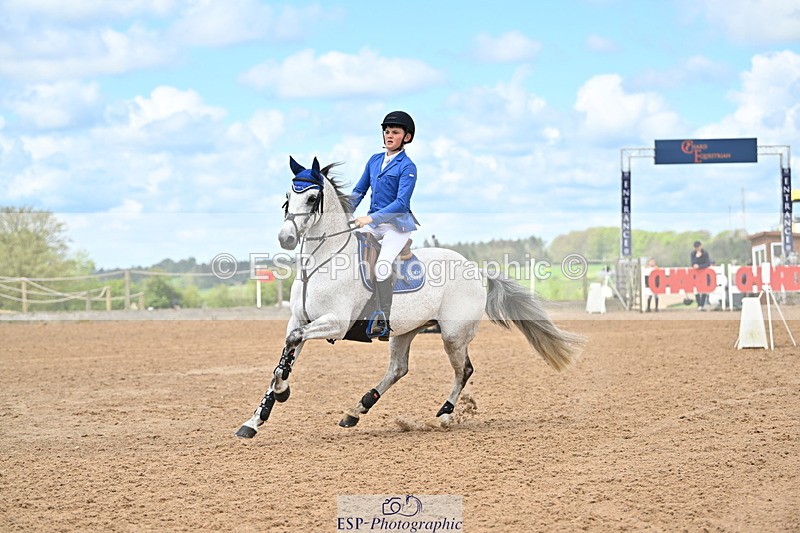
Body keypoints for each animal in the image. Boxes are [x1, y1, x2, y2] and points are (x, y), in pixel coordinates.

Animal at [235, 157, 584, 438]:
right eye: (287, 197)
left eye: (311, 197)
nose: (286, 238)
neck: (323, 261)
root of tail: (476, 269)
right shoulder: (301, 319)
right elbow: (285, 357)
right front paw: (256, 419)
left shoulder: (335, 323)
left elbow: (291, 347)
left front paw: (281, 394)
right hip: (404, 330)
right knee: (398, 369)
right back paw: (355, 411)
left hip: (453, 335)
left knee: (464, 370)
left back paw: (443, 415)